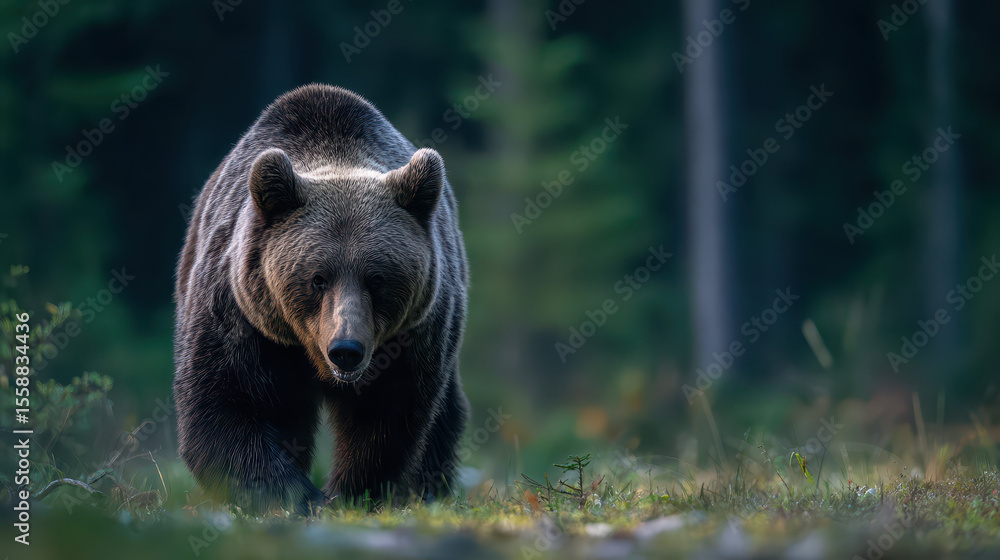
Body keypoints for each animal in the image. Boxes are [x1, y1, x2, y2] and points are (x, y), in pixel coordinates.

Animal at [173, 84, 470, 515]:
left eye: (376, 278)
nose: (346, 349)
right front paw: (293, 495)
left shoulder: (412, 336)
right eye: (317, 278)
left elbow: (387, 418)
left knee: (444, 417)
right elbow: (225, 406)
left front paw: (347, 494)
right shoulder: (242, 318)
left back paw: (431, 488)